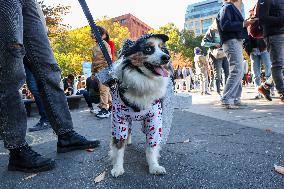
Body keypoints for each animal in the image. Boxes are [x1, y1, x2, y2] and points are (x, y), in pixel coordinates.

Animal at [108, 33, 171, 177]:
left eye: (163, 49)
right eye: (148, 49)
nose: (166, 57)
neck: (144, 81)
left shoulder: (154, 120)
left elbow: (152, 147)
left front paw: (154, 166)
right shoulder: (119, 120)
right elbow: (118, 147)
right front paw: (117, 168)